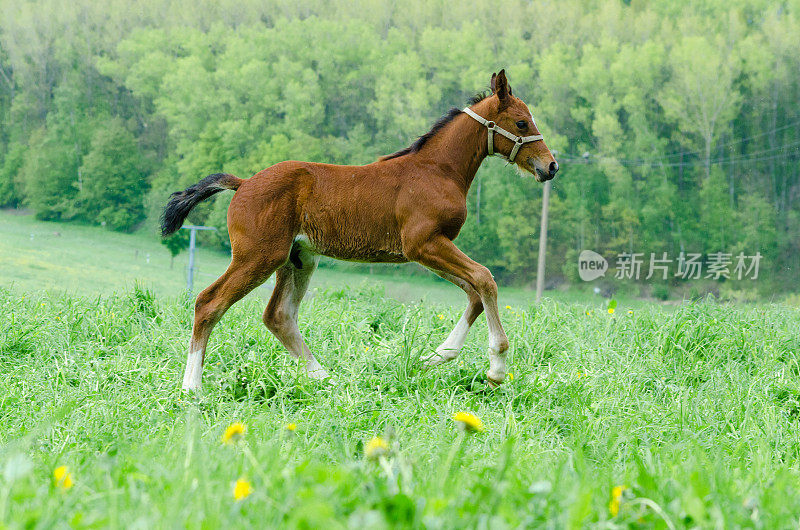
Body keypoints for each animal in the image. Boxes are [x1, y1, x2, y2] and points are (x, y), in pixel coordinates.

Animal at [164, 70, 556, 390]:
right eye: (522, 123)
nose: (550, 166)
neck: (437, 170)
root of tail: (243, 183)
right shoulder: (422, 244)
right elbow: (485, 278)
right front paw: (497, 367)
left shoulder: (430, 249)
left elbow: (475, 290)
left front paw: (434, 357)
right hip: (258, 257)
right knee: (209, 302)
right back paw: (191, 387)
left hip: (299, 259)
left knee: (279, 316)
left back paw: (326, 379)